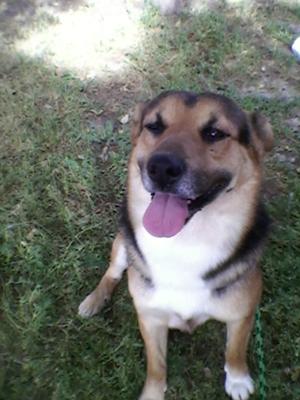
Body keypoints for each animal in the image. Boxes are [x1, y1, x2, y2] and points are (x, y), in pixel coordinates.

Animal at [78, 90, 274, 400]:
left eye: (214, 133)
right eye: (154, 126)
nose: (161, 168)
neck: (186, 242)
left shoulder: (242, 313)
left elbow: (235, 350)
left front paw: (238, 380)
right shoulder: (150, 317)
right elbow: (156, 366)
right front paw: (152, 393)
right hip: (122, 245)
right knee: (112, 273)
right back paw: (94, 300)